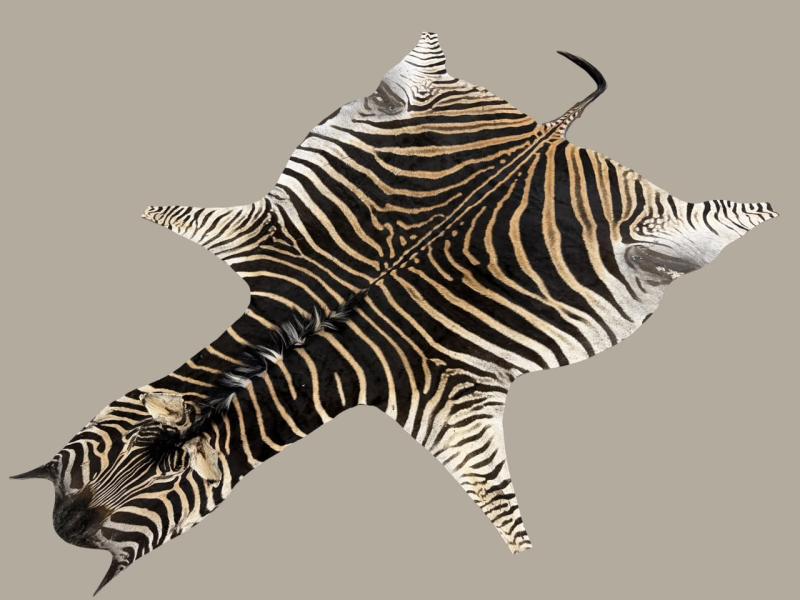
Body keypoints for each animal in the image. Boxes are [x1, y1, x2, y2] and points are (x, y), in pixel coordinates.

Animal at [12, 32, 777, 594]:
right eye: (127, 451)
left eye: (171, 487)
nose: (65, 527)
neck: (307, 340)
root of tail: (547, 130)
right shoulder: (268, 241)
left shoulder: (450, 396)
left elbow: (495, 495)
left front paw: (519, 546)